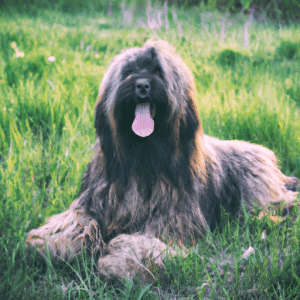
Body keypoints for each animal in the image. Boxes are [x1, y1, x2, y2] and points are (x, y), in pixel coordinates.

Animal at [25, 39, 298, 282]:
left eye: (159, 72)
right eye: (129, 71)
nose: (142, 86)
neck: (142, 158)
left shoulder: (171, 219)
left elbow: (144, 244)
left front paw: (118, 261)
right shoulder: (93, 199)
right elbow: (71, 224)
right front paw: (53, 245)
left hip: (256, 196)